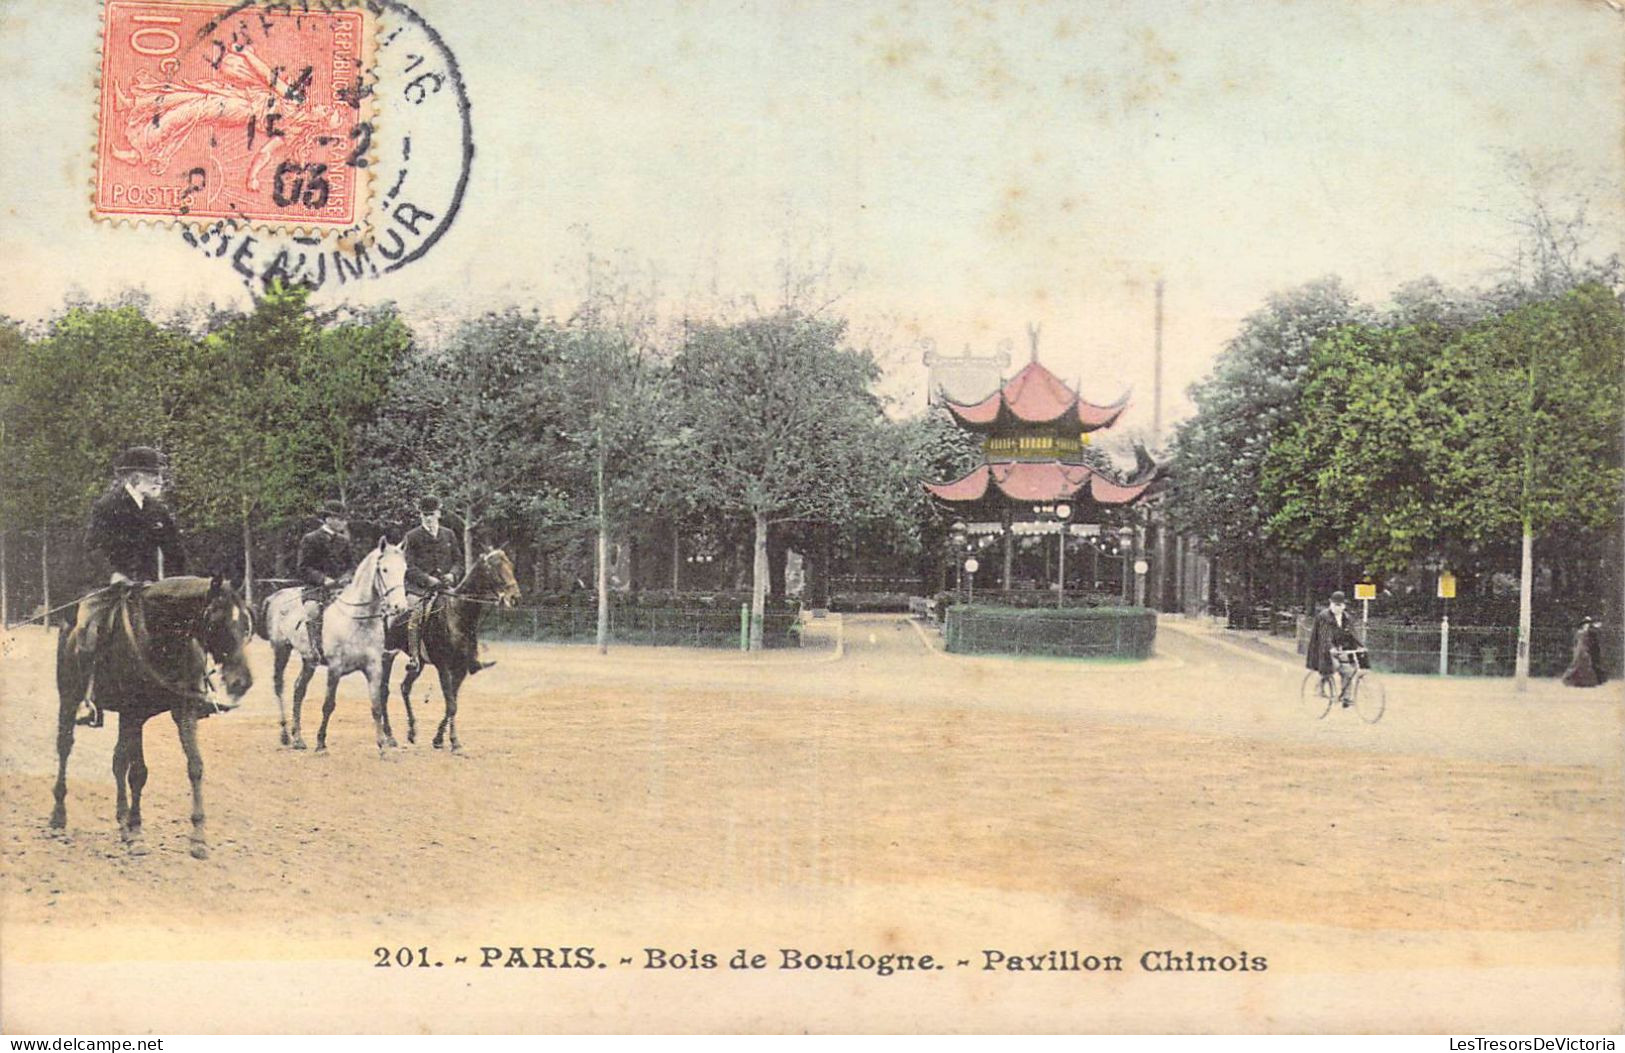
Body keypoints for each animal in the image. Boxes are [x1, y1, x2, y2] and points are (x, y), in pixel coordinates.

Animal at [52, 578, 253, 858]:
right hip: (69, 699)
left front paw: (198, 838)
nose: (241, 682)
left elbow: (195, 766)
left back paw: (122, 823)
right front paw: (137, 833)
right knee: (65, 747)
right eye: (215, 622)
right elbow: (138, 773)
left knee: (118, 761)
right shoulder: (134, 714)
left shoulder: (183, 711)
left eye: (245, 622)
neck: (162, 637)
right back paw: (59, 817)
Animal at [260, 539, 409, 754]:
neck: (358, 620)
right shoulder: (335, 668)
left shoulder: (374, 667)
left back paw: (298, 738)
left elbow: (376, 706)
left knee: (298, 689)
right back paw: (286, 735)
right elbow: (328, 704)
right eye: (384, 569)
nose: (400, 608)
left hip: (308, 660)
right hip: (282, 650)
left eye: (405, 570)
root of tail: (275, 596)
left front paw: (382, 744)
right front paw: (321, 742)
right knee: (279, 686)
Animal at [377, 552, 516, 747]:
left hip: (418, 663)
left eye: (510, 566)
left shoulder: (461, 668)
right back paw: (389, 736)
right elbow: (451, 704)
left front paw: (442, 739)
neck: (457, 616)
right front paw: (451, 741)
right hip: (387, 655)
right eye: (495, 569)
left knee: (405, 687)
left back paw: (412, 732)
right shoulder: (443, 666)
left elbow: (453, 703)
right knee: (384, 691)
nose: (514, 597)